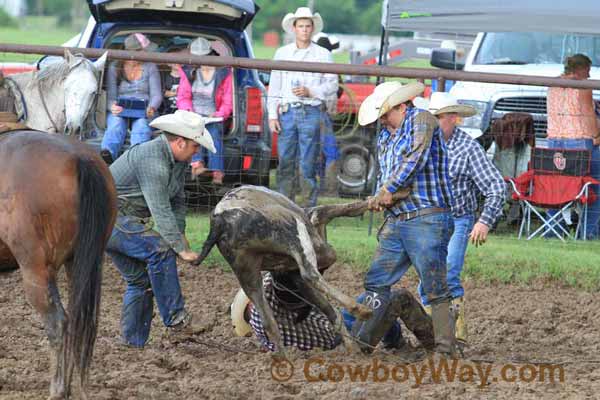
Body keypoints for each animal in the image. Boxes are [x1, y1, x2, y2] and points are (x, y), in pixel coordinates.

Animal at [0, 130, 116, 396]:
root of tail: (79, 157)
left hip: (37, 271)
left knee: (58, 323)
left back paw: (58, 388)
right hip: (81, 265)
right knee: (78, 321)